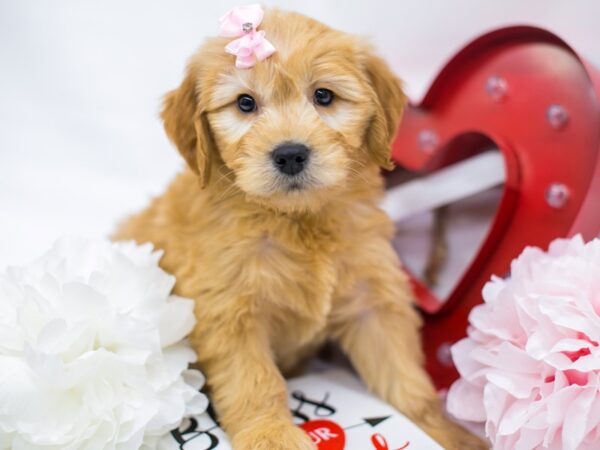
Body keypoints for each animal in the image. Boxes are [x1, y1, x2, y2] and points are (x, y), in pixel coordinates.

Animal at [115, 7, 486, 450]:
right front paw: (272, 436)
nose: (290, 154)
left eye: (324, 96)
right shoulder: (230, 312)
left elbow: (405, 379)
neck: (297, 219)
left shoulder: (370, 299)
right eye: (245, 103)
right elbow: (255, 381)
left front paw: (447, 433)